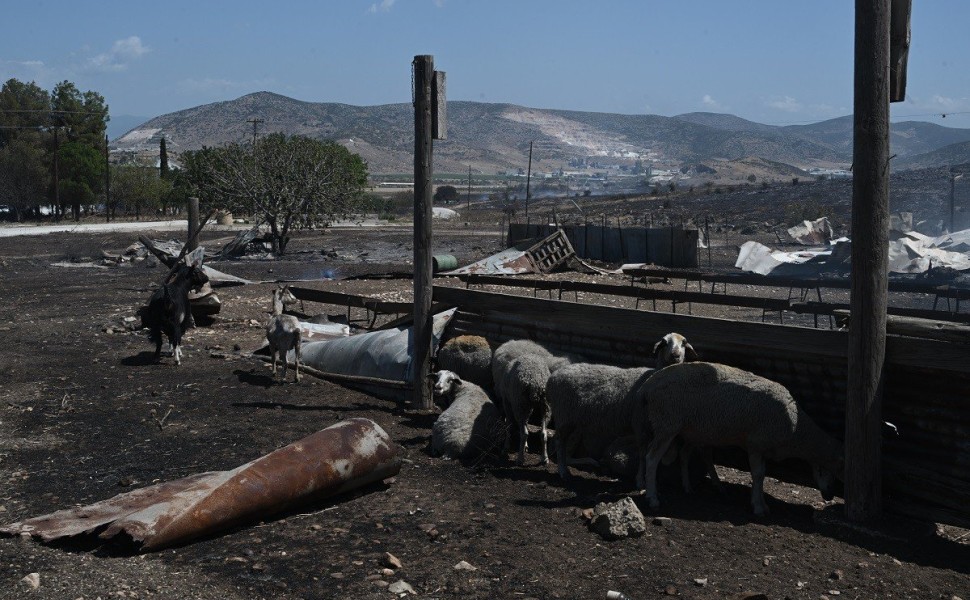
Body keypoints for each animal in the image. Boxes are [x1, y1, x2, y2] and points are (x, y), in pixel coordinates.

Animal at [636, 360, 840, 516]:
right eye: (827, 471)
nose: (830, 496)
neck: (797, 429)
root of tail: (648, 385)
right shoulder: (756, 444)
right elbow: (758, 474)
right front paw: (758, 507)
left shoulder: (762, 447)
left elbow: (761, 475)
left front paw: (762, 503)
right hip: (666, 424)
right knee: (652, 458)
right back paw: (652, 498)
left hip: (687, 429)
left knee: (681, 455)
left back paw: (687, 488)